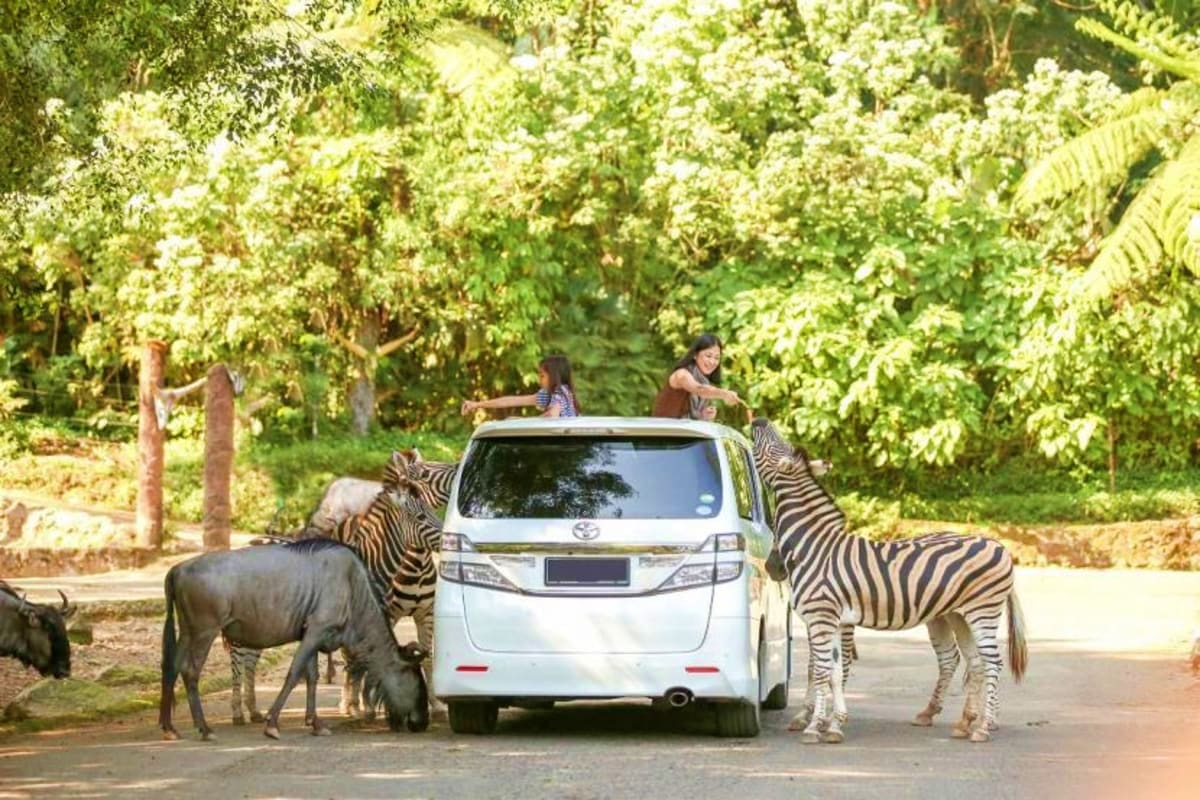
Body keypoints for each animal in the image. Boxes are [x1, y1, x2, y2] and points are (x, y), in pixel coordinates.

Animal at [750, 418, 1027, 744]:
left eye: (775, 447)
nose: (758, 420)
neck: (813, 546)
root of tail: (1001, 547)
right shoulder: (833, 620)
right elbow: (832, 672)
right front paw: (832, 725)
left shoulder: (821, 617)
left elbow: (820, 671)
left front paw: (814, 727)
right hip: (959, 615)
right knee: (974, 662)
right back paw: (964, 723)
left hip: (983, 611)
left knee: (993, 663)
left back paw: (984, 727)